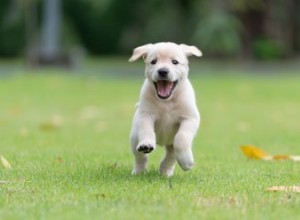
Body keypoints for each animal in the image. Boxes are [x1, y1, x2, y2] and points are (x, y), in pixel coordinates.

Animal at [129, 41, 202, 177]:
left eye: (174, 62)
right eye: (153, 61)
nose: (163, 71)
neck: (166, 102)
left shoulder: (190, 118)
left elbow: (181, 138)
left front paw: (187, 162)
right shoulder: (145, 115)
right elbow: (146, 130)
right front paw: (146, 144)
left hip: (171, 144)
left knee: (171, 155)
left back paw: (165, 171)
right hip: (134, 138)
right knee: (140, 157)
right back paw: (139, 170)